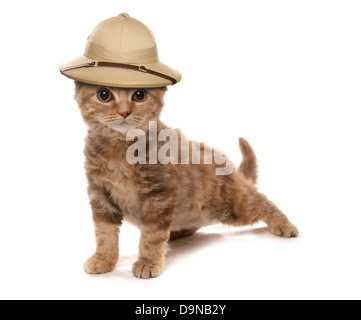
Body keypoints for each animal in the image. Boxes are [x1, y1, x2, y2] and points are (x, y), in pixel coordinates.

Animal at [74, 82, 298, 280]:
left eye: (139, 95)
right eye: (104, 95)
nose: (124, 112)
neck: (120, 150)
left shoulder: (159, 194)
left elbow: (152, 235)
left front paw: (148, 262)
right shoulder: (99, 194)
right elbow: (105, 232)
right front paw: (103, 258)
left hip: (233, 206)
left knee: (260, 201)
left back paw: (285, 225)